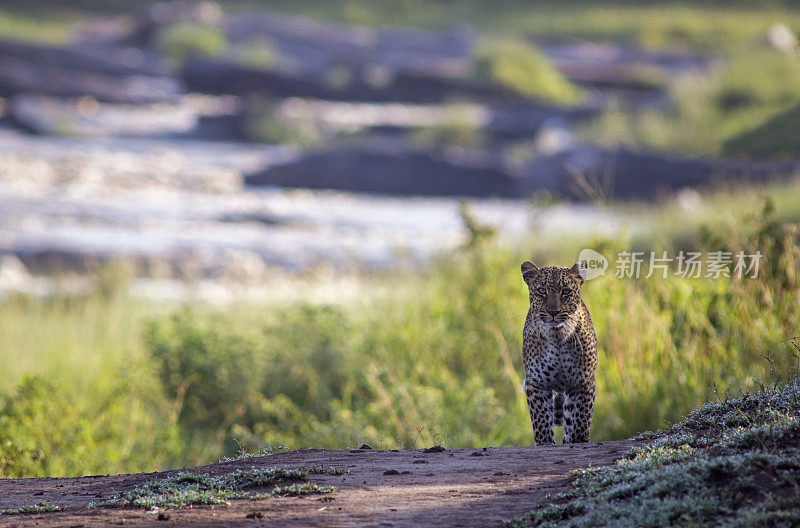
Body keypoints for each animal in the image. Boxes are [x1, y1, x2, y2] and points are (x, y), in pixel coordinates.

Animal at [520, 262, 596, 444]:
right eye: (542, 290)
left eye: (566, 291)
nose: (553, 311)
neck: (557, 337)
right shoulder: (537, 383)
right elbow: (541, 421)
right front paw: (545, 443)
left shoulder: (583, 382)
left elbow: (581, 420)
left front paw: (578, 441)